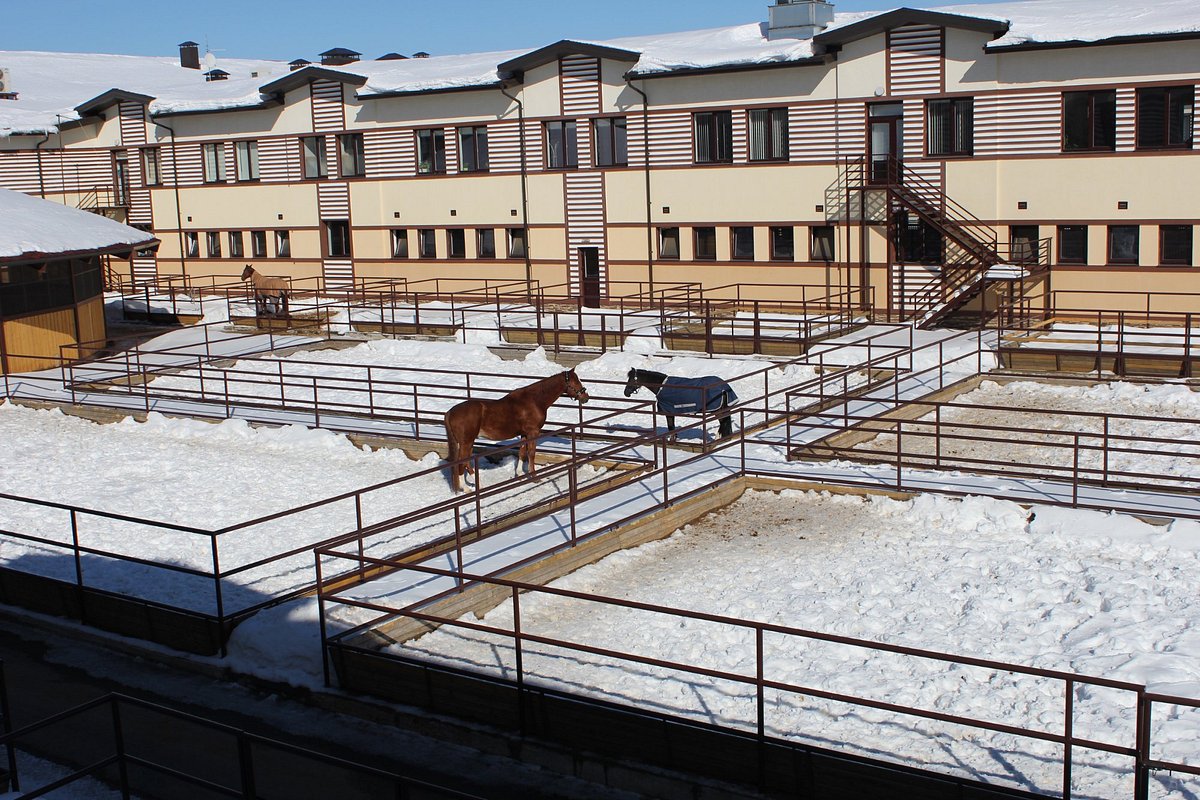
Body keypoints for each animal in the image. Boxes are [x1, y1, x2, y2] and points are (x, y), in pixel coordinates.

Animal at [444, 371, 588, 494]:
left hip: (468, 442)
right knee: (461, 463)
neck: (534, 400)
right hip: (466, 443)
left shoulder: (524, 434)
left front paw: (519, 475)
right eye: (575, 382)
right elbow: (531, 453)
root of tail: (450, 412)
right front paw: (534, 477)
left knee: (466, 463)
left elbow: (522, 452)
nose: (586, 397)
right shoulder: (533, 432)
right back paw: (466, 488)